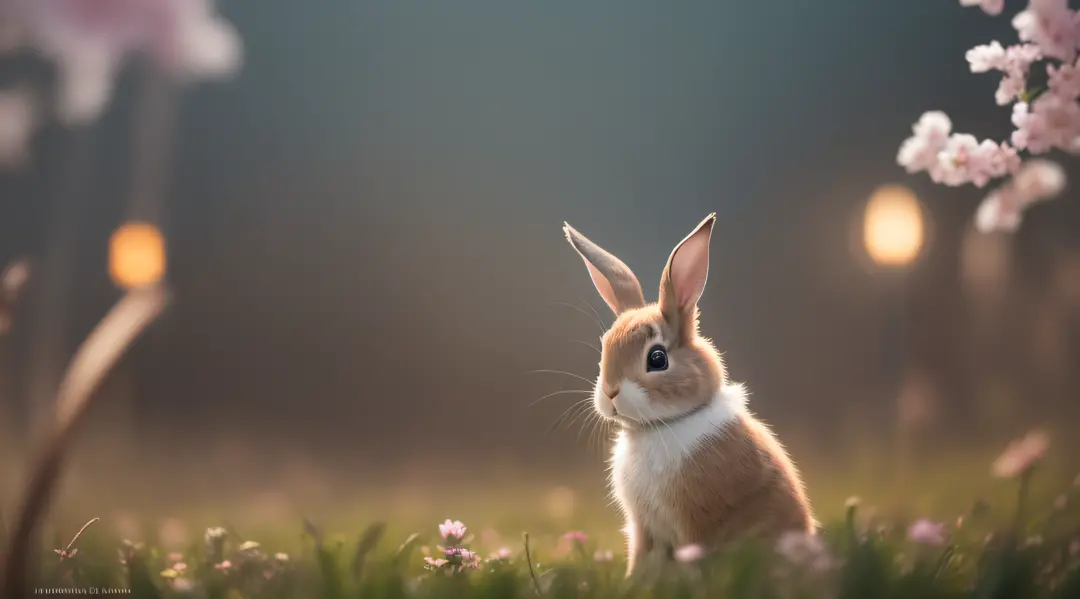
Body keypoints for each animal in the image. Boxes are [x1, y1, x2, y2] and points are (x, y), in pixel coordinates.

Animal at [561, 214, 812, 578]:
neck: (661, 426)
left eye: (657, 359)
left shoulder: (695, 522)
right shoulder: (644, 528)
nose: (609, 393)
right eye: (604, 346)